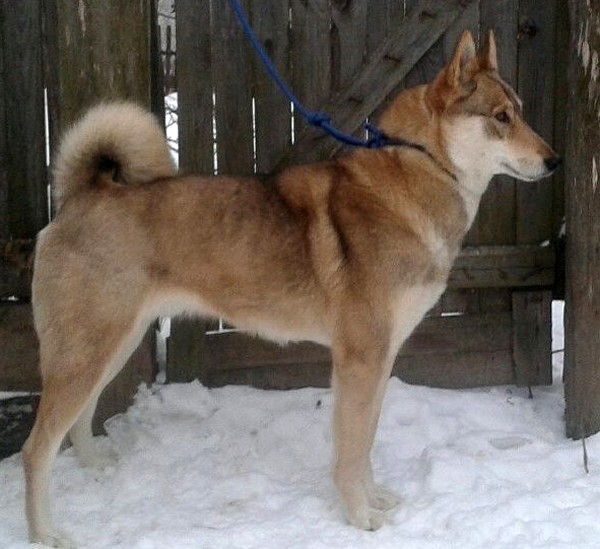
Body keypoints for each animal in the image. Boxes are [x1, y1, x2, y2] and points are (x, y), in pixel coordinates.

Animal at [22, 30, 560, 547]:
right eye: (501, 117)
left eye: (521, 112)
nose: (554, 161)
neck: (419, 170)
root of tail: (81, 195)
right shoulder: (361, 360)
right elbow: (351, 450)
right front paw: (360, 518)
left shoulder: (378, 359)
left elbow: (364, 443)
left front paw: (374, 500)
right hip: (86, 353)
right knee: (36, 449)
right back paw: (46, 533)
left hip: (110, 347)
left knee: (79, 420)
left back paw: (95, 469)